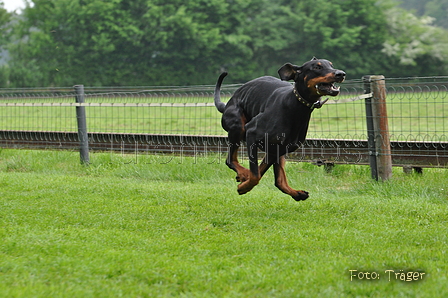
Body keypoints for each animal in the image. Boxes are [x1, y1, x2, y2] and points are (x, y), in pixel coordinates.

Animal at [214, 57, 346, 201]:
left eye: (331, 65)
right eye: (317, 67)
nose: (341, 74)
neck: (296, 106)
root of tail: (227, 104)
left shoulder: (276, 150)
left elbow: (262, 173)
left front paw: (244, 183)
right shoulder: (252, 134)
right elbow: (255, 175)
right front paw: (243, 186)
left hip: (279, 151)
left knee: (279, 181)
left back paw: (297, 193)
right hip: (237, 126)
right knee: (230, 160)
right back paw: (243, 174)